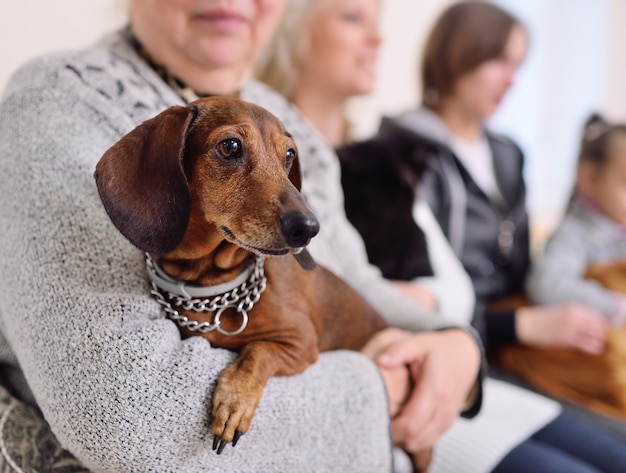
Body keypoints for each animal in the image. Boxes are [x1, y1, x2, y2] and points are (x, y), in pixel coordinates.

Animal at [94, 96, 428, 468]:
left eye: (289, 155)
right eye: (230, 146)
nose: (308, 228)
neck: (213, 289)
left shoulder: (300, 344)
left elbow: (257, 351)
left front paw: (234, 402)